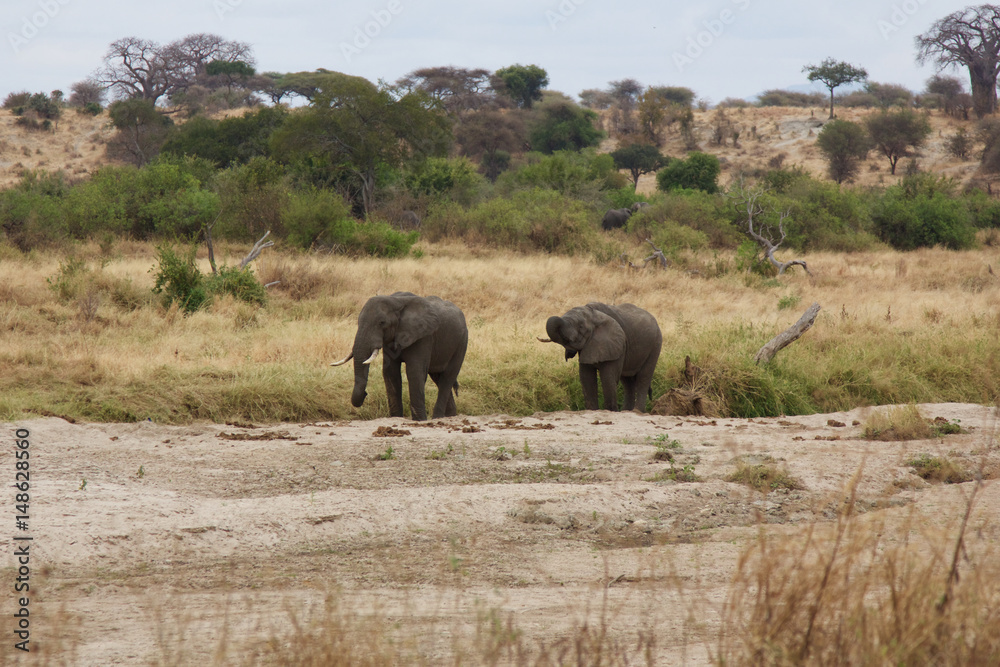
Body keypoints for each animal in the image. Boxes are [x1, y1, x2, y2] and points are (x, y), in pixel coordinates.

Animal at [331, 292, 468, 421]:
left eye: (382, 322)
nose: (365, 394)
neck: (396, 301)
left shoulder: (423, 337)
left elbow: (414, 372)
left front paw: (419, 420)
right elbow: (390, 372)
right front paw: (396, 418)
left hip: (461, 342)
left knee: (447, 378)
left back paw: (436, 418)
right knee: (438, 377)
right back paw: (449, 417)